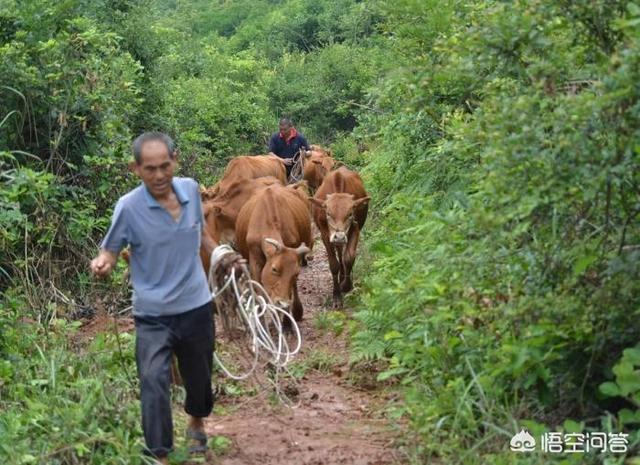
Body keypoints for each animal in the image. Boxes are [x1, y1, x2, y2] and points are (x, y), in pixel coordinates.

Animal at [236, 184, 314, 320]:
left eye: (296, 273)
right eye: (274, 269)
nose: (282, 303)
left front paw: (287, 319)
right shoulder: (254, 258)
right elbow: (258, 289)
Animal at [312, 167, 370, 308]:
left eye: (350, 214)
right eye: (328, 213)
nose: (339, 237)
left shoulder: (355, 228)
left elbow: (348, 258)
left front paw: (346, 285)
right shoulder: (325, 234)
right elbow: (334, 264)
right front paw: (336, 296)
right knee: (339, 252)